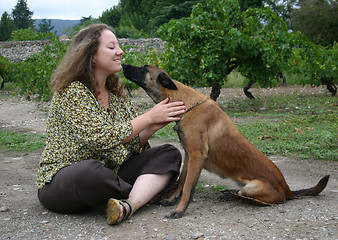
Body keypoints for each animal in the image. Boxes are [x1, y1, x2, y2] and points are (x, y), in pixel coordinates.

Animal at [123, 63, 328, 218]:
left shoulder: (197, 156)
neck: (185, 102)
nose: (123, 64)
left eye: (144, 68)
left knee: (245, 197)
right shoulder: (189, 154)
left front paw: (180, 210)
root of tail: (287, 190)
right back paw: (229, 192)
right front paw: (172, 199)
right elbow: (181, 180)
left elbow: (188, 186)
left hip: (253, 188)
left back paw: (230, 194)